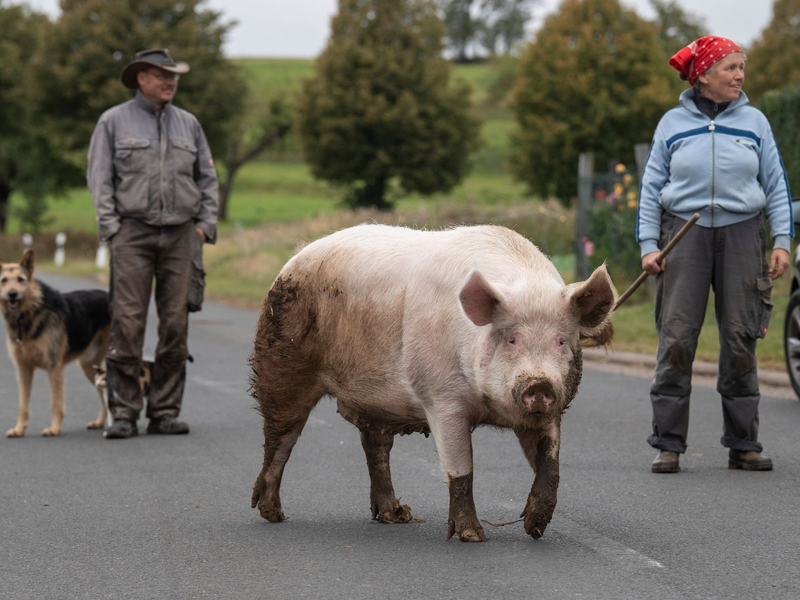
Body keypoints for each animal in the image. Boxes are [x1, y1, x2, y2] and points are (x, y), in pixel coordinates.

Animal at [250, 224, 616, 542]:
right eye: (511, 339)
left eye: (562, 341)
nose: (539, 385)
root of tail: (294, 259)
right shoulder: (440, 398)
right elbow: (461, 468)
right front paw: (473, 537)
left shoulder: (551, 410)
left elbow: (550, 463)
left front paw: (535, 528)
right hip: (281, 362)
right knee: (280, 437)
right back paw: (273, 514)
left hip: (375, 401)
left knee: (375, 447)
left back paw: (396, 516)